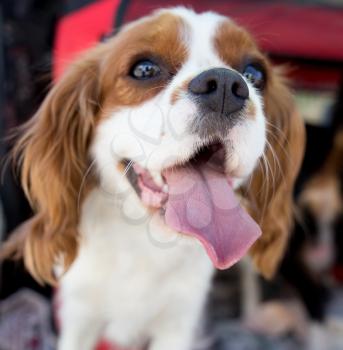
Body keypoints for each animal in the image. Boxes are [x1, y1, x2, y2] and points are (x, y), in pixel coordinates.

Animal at [1, 8, 306, 350]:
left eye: (255, 73)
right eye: (144, 69)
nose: (227, 86)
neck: (142, 237)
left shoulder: (178, 322)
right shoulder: (80, 317)